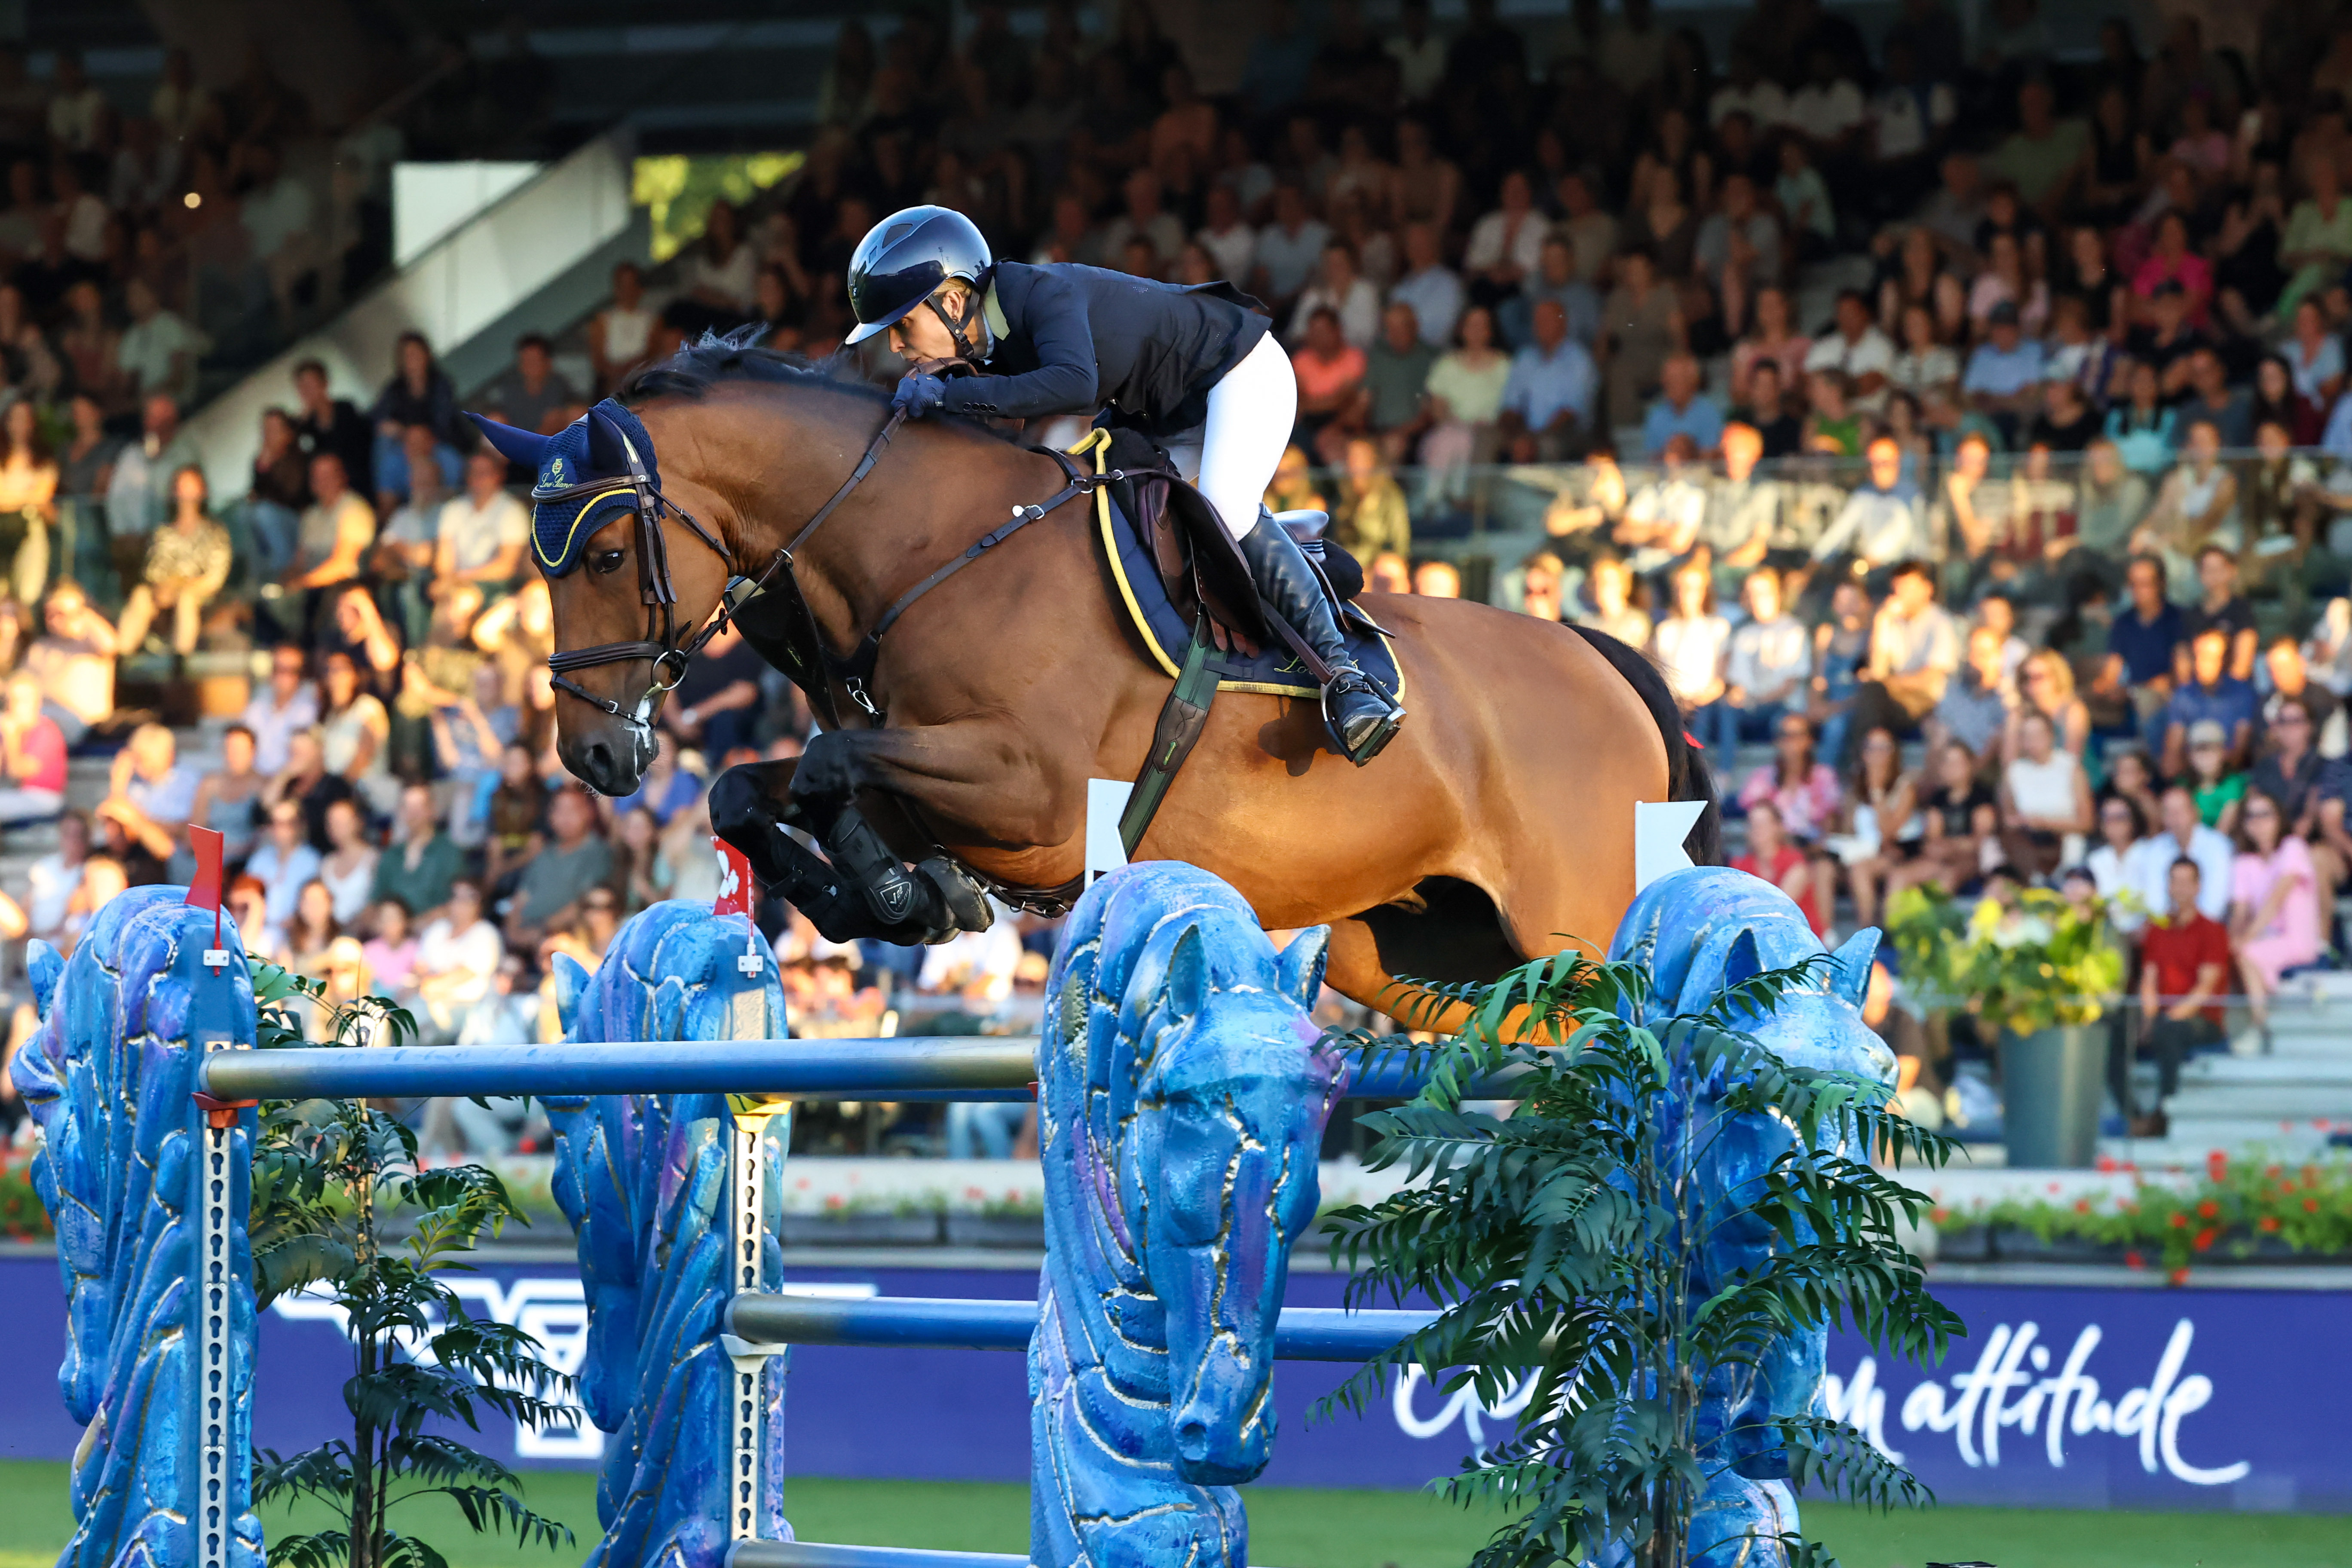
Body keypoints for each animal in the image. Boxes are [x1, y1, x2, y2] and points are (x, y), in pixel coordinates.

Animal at [487, 334, 1721, 1029]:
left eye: (605, 557)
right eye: (538, 566)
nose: (591, 755)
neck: (928, 548)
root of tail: (1605, 660)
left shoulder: (1032, 800)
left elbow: (831, 765)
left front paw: (893, 893)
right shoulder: (931, 770)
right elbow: (754, 785)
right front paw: (890, 896)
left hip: (1572, 928)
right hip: (1423, 952)